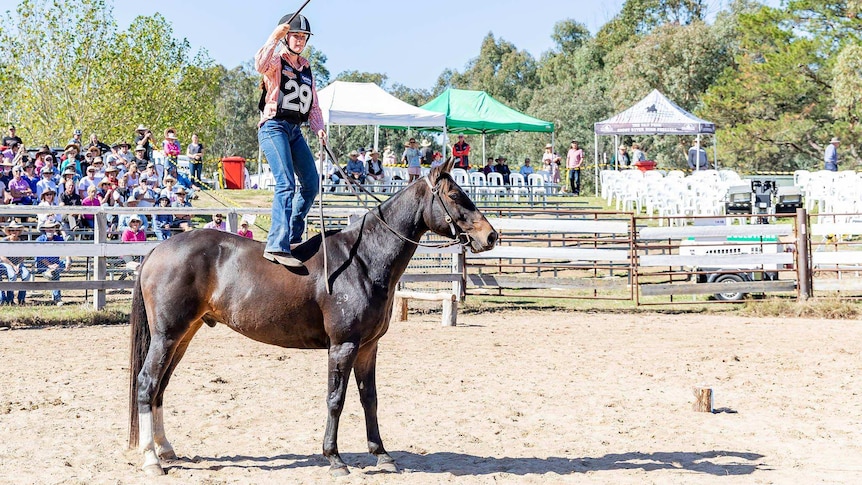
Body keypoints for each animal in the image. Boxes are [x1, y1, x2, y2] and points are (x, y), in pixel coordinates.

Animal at [132, 160, 502, 476]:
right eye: (454, 195)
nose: (491, 235)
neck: (363, 259)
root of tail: (158, 249)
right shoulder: (343, 346)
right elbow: (336, 399)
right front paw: (334, 458)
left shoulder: (368, 347)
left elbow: (370, 399)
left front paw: (381, 454)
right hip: (167, 336)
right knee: (147, 384)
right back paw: (151, 459)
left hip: (184, 335)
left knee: (161, 387)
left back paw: (166, 449)